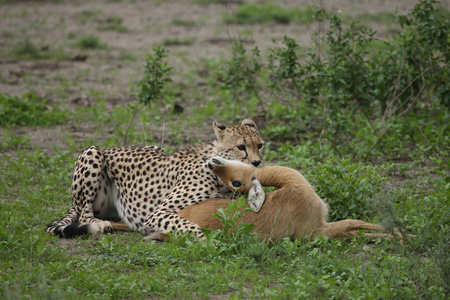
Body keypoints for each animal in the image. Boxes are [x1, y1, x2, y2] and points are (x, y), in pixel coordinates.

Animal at [46, 118, 264, 238]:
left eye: (259, 145)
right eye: (241, 147)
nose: (257, 163)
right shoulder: (158, 213)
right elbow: (189, 225)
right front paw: (205, 240)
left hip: (157, 147)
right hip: (93, 151)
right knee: (84, 214)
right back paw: (100, 224)